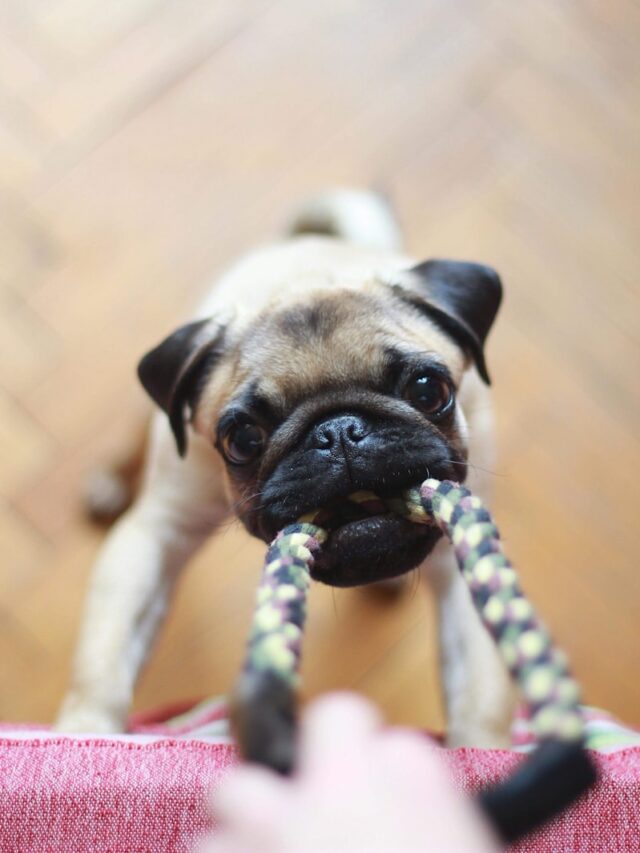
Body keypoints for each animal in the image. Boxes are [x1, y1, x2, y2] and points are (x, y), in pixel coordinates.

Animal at [56, 191, 516, 744]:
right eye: (243, 440)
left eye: (429, 391)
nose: (339, 432)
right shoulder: (159, 532)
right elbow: (105, 655)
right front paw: (86, 729)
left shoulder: (462, 557)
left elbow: (480, 684)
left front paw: (483, 751)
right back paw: (109, 481)